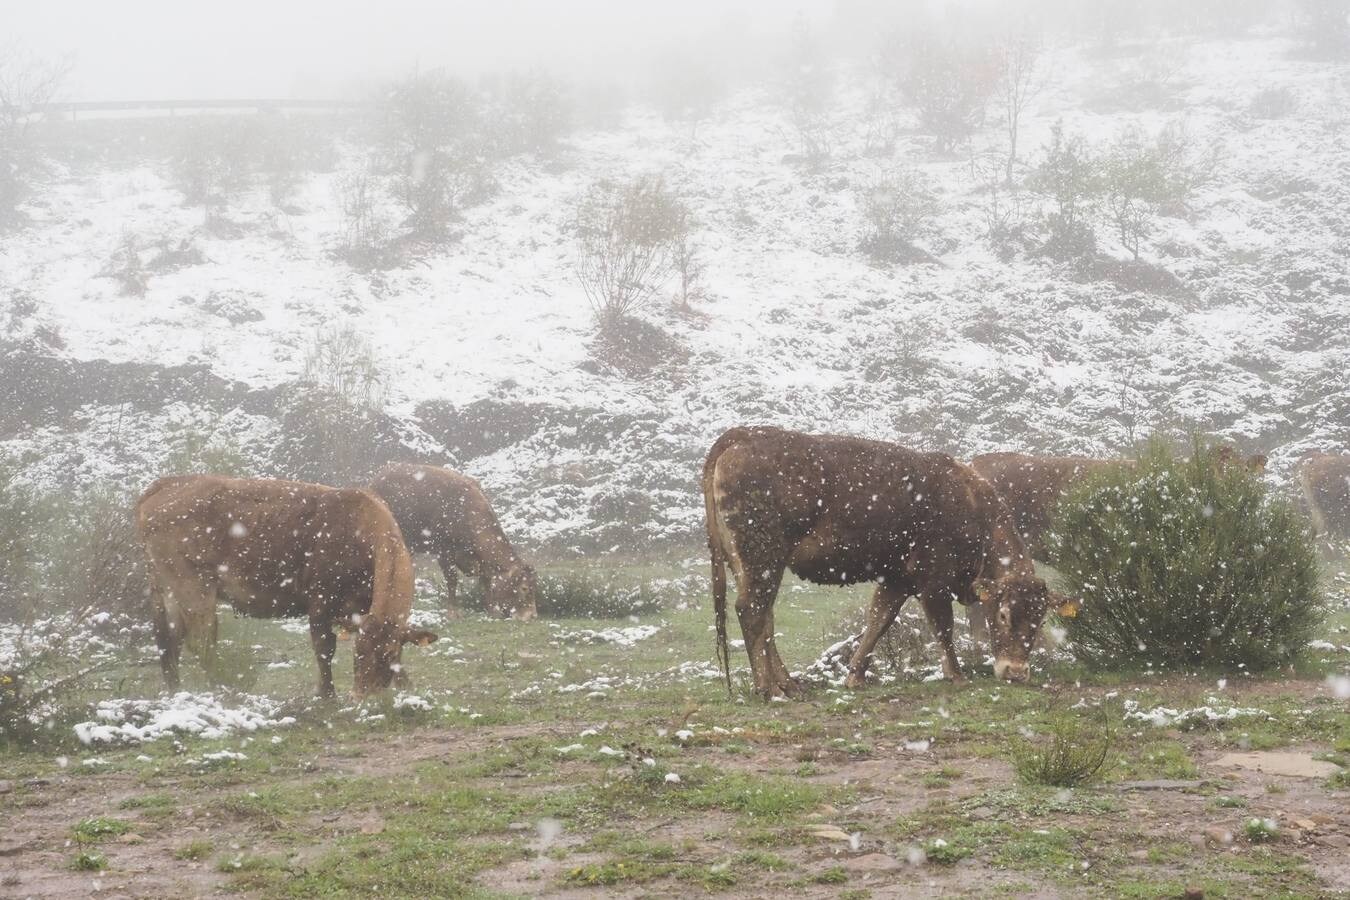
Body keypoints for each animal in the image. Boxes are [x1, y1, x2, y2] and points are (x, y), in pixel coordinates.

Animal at [135, 474, 437, 701]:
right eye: (358, 653)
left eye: (389, 655)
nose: (361, 697)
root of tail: (170, 483)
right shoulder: (321, 599)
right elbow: (324, 647)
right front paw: (327, 695)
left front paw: (407, 686)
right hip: (192, 587)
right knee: (201, 643)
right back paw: (224, 690)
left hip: (164, 589)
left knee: (167, 640)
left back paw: (175, 692)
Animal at [372, 464, 540, 620]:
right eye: (524, 588)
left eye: (534, 586)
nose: (532, 616)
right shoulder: (444, 552)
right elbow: (452, 581)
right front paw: (453, 612)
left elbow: (486, 580)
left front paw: (492, 610)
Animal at [702, 426, 1069, 701]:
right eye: (1004, 614)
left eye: (1040, 619)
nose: (1015, 672)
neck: (972, 507)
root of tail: (743, 435)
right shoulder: (933, 584)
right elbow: (944, 629)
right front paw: (957, 675)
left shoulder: (896, 581)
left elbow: (878, 621)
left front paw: (855, 675)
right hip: (763, 560)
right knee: (752, 611)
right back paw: (769, 689)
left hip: (753, 566)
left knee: (765, 617)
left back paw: (789, 685)